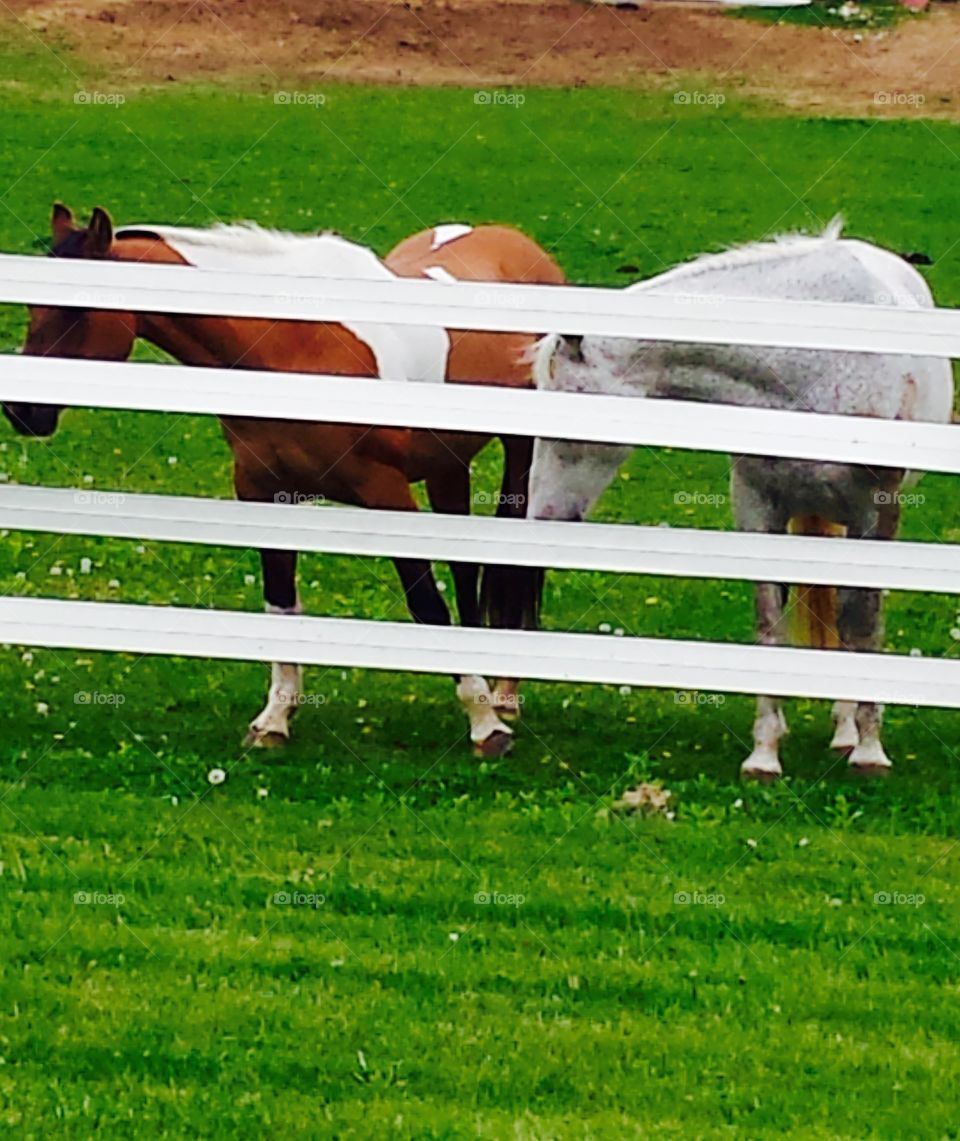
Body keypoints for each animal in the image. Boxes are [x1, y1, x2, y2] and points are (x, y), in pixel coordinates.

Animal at [3, 205, 566, 757]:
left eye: (77, 310)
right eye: (31, 305)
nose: (22, 410)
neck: (296, 346)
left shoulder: (386, 494)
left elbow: (427, 602)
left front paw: (485, 726)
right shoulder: (265, 495)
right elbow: (280, 602)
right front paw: (273, 721)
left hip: (521, 454)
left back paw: (503, 697)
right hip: (448, 465)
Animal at [515, 217, 949, 780]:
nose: (544, 514)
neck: (811, 364)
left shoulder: (877, 513)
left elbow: (864, 623)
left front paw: (871, 750)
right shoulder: (757, 507)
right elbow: (769, 624)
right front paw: (764, 753)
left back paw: (850, 732)